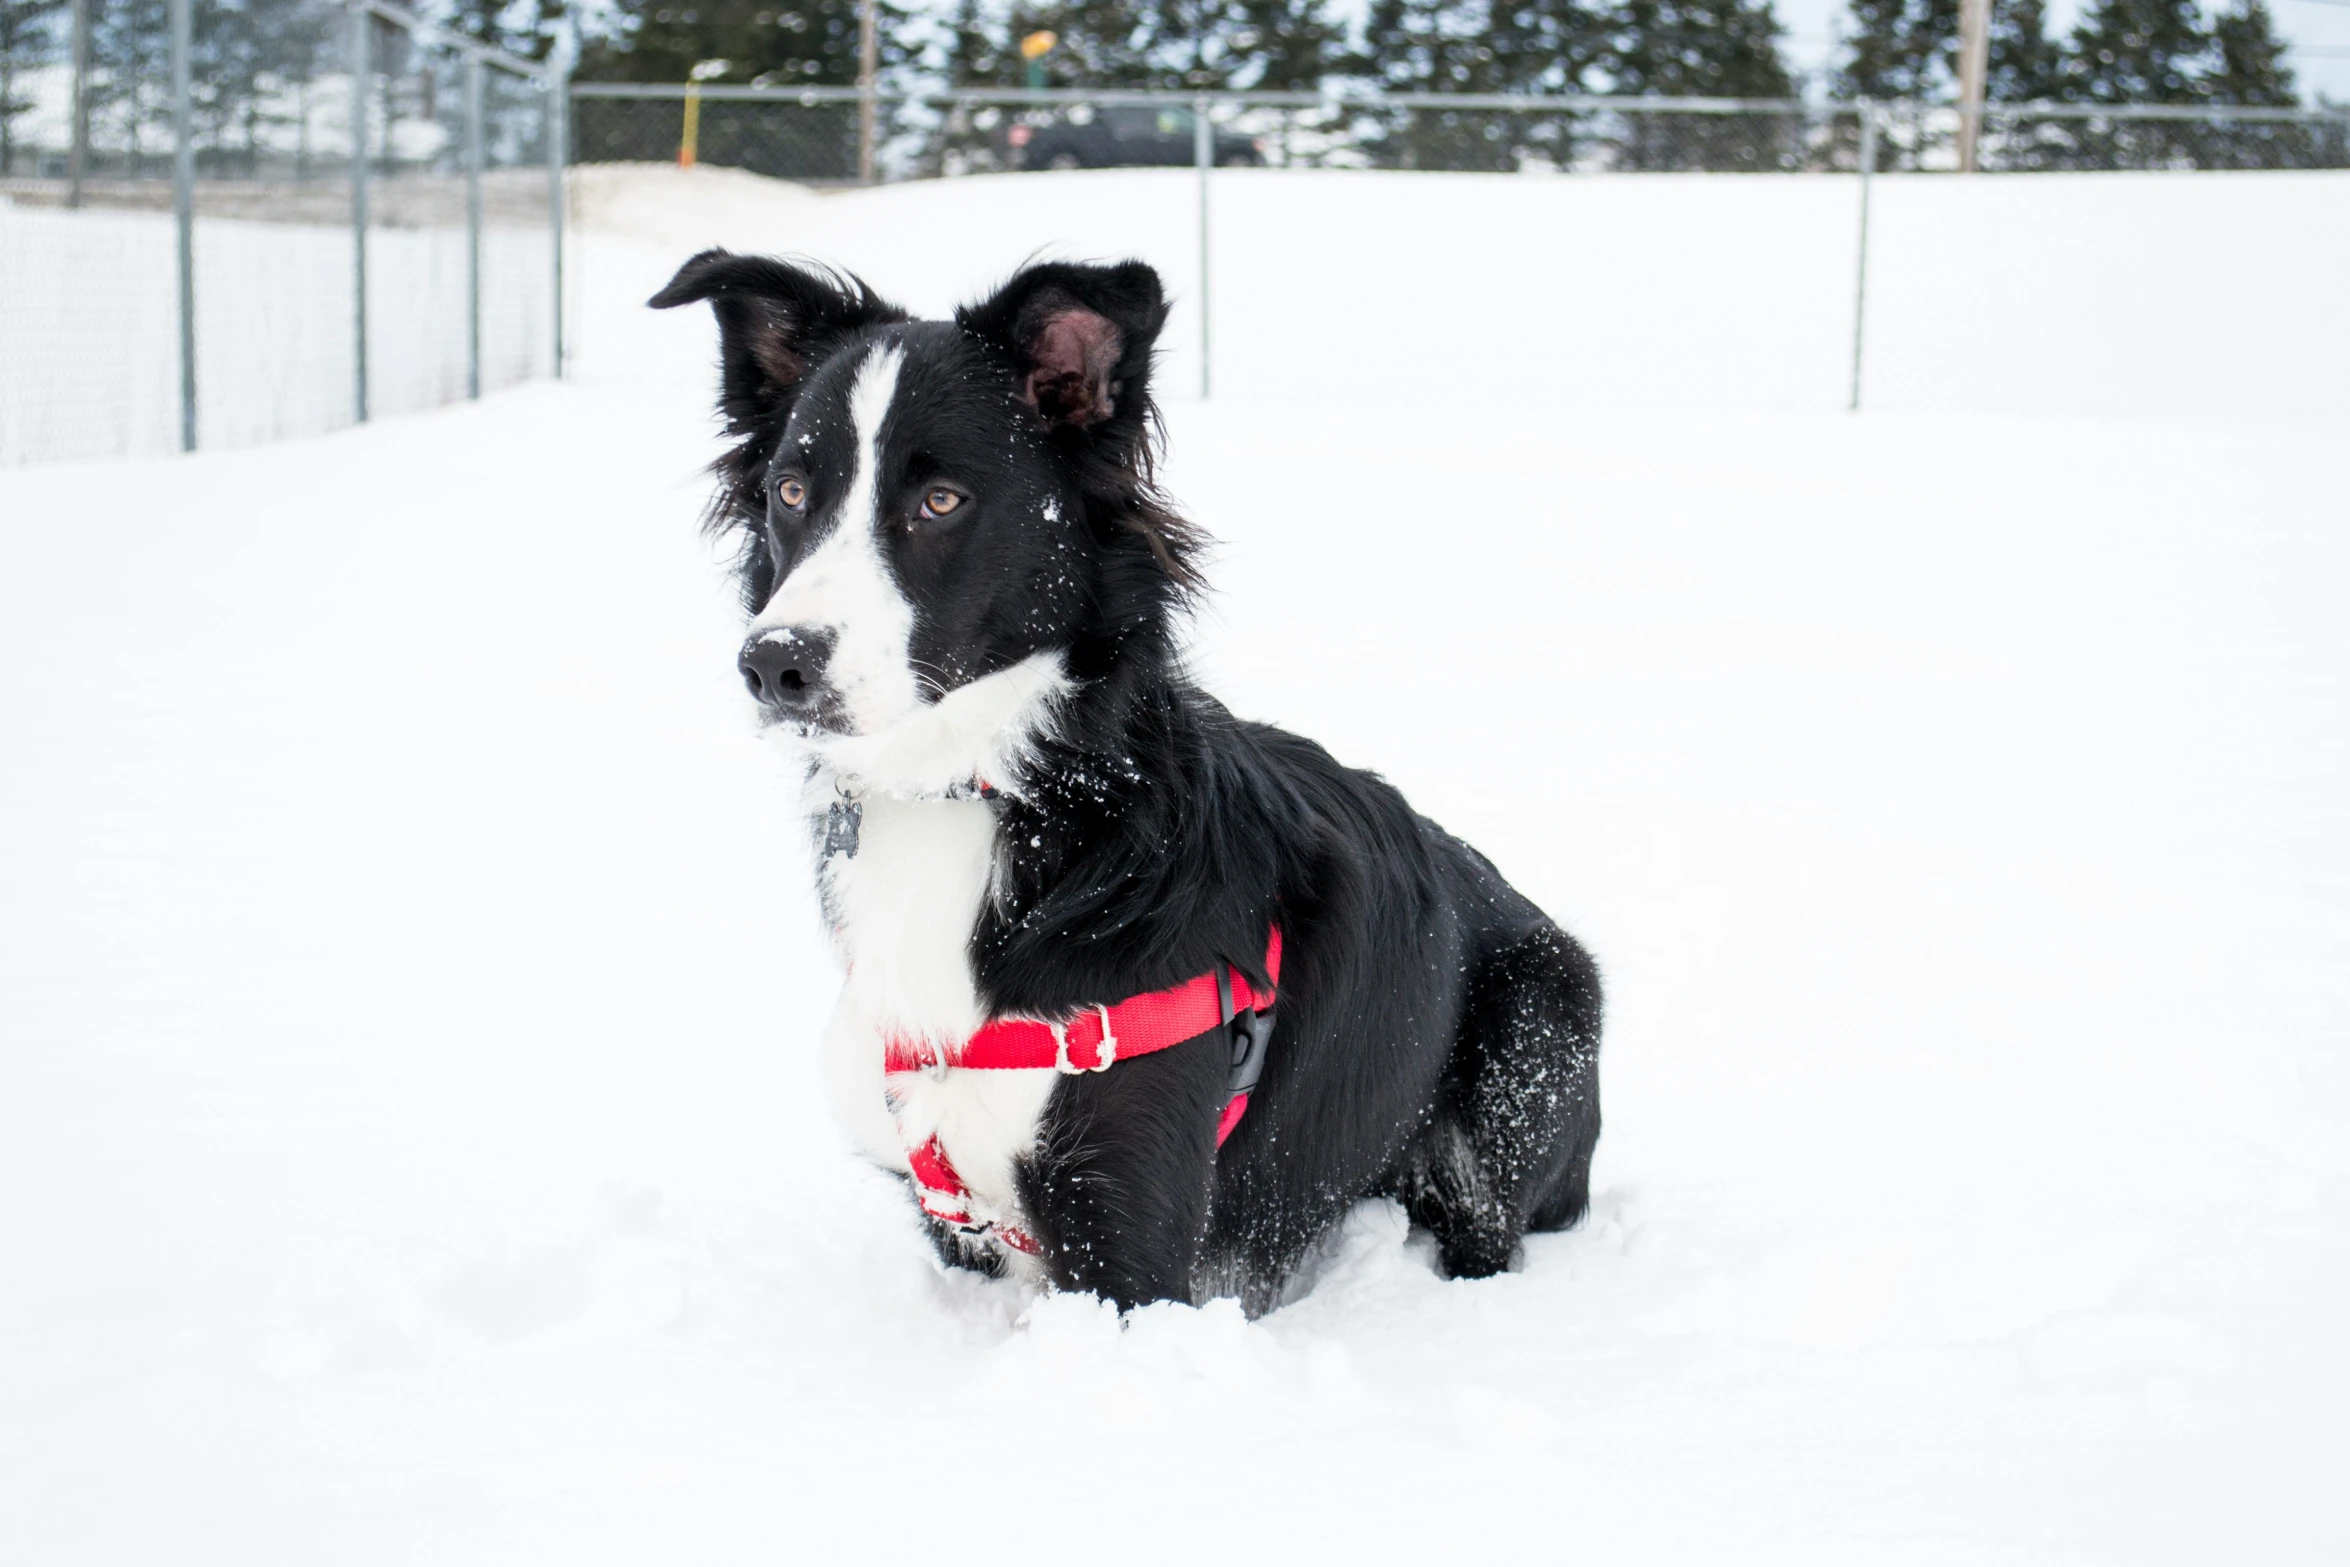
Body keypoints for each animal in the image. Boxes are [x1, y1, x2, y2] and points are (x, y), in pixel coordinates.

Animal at [653, 254, 1607, 1315]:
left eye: (940, 500)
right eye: (789, 490)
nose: (774, 663)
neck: (992, 793)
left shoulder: (1127, 1240)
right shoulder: (957, 1217)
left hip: (1535, 1034)